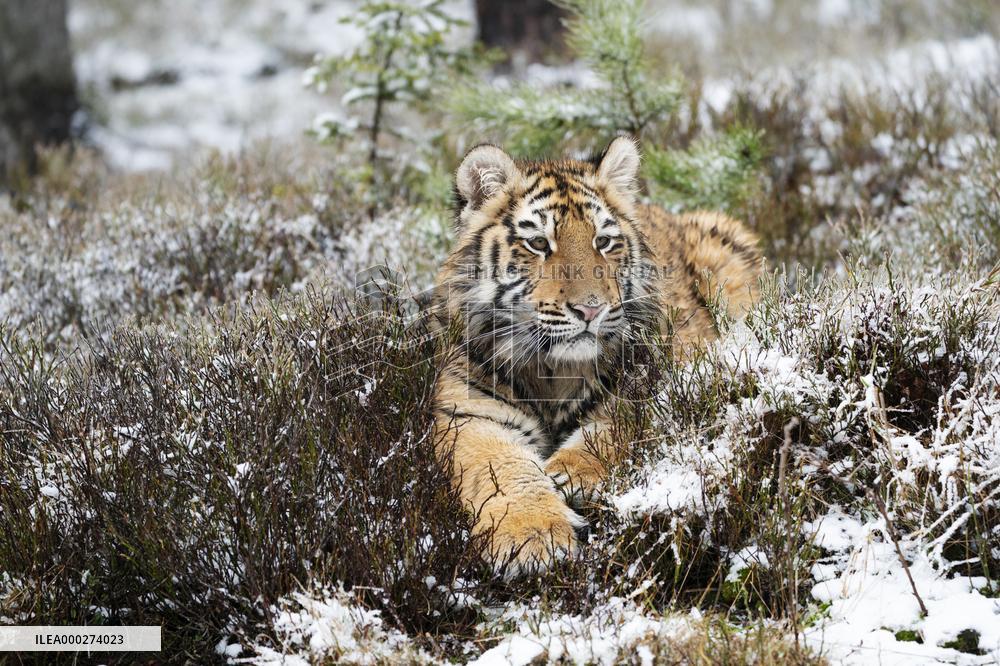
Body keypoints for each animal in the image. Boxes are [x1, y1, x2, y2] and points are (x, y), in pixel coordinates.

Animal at [431, 136, 761, 577]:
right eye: (539, 243)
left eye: (603, 242)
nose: (591, 310)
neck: (553, 370)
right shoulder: (471, 414)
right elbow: (500, 468)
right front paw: (533, 535)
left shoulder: (657, 388)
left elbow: (609, 433)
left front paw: (567, 474)